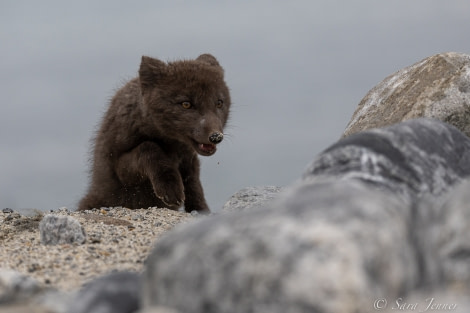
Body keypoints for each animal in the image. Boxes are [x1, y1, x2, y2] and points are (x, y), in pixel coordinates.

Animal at [78, 53, 230, 212]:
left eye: (219, 103)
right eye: (186, 104)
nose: (215, 136)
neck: (173, 146)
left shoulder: (189, 158)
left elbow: (194, 185)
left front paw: (201, 210)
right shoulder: (120, 168)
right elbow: (149, 147)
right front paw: (170, 189)